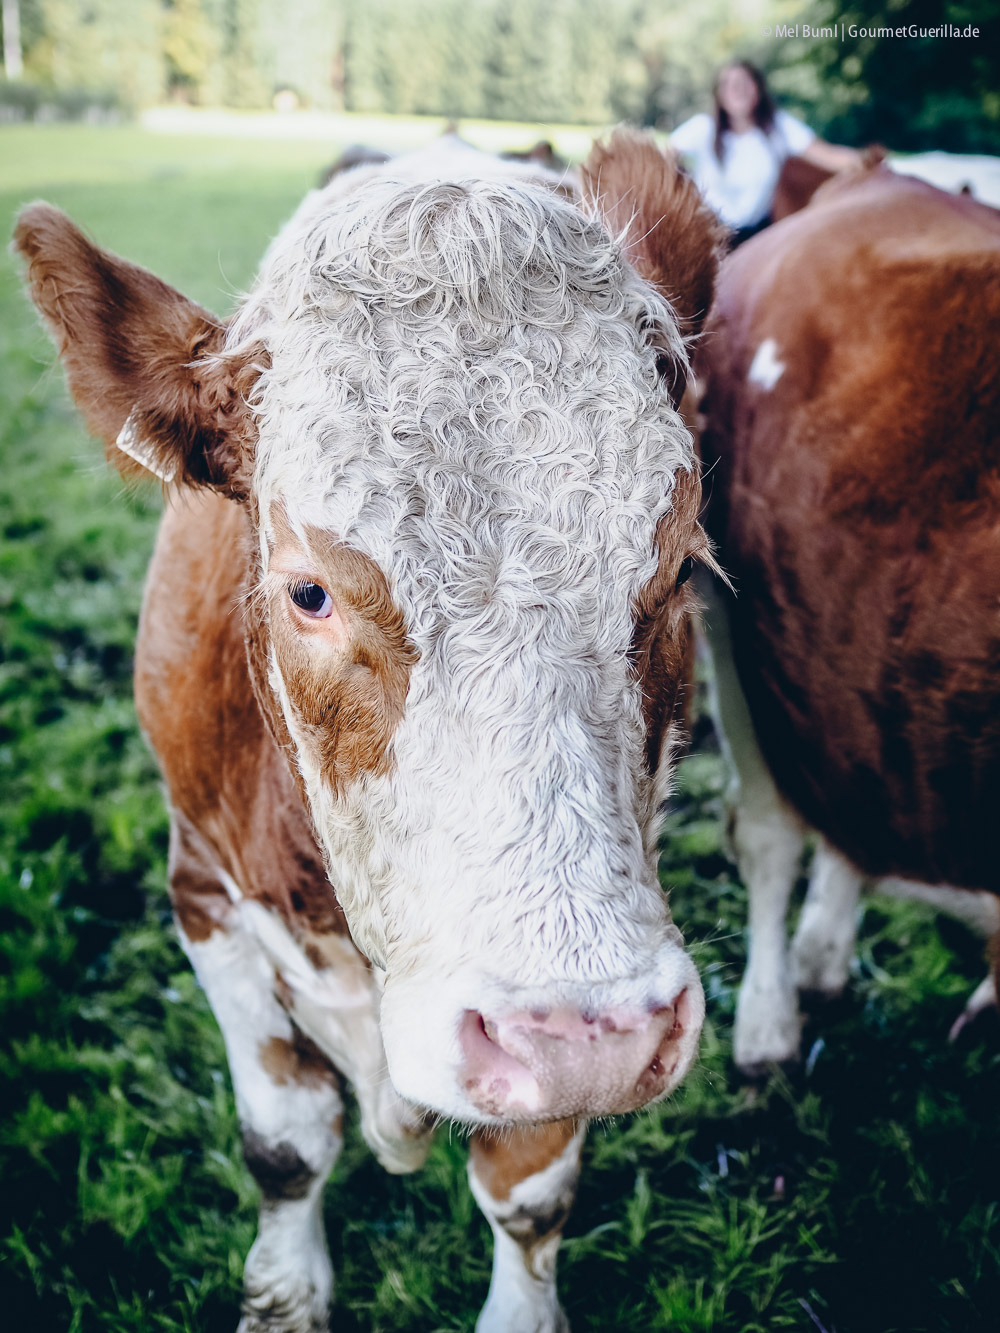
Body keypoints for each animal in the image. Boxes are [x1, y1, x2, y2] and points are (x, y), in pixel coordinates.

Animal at [15, 131, 725, 1332]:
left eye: (679, 566)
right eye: (309, 592)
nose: (592, 1032)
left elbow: (528, 1189)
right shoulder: (202, 888)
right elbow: (287, 1143)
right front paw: (286, 1288)